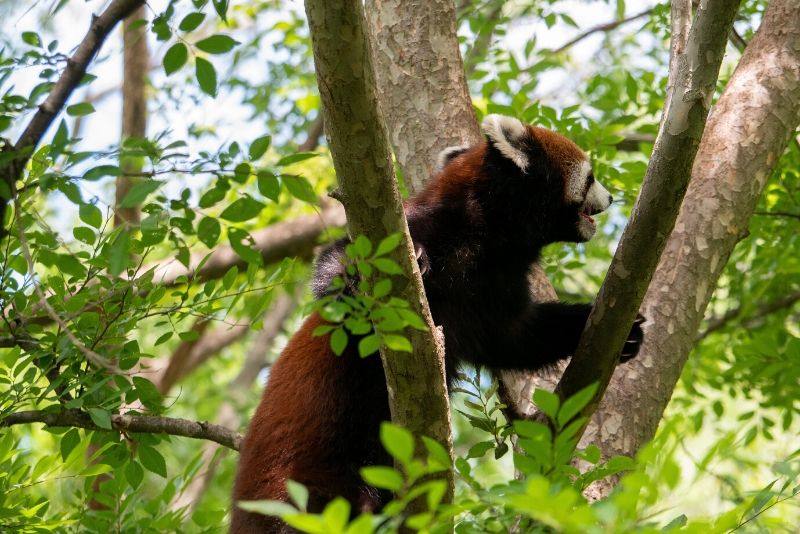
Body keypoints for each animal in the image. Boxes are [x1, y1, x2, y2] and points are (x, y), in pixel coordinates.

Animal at [231, 113, 644, 532]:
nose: (611, 199)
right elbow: (336, 268)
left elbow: (517, 338)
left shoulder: (491, 298)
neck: (487, 238)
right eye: (591, 177)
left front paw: (623, 331)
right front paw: (371, 275)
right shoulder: (421, 227)